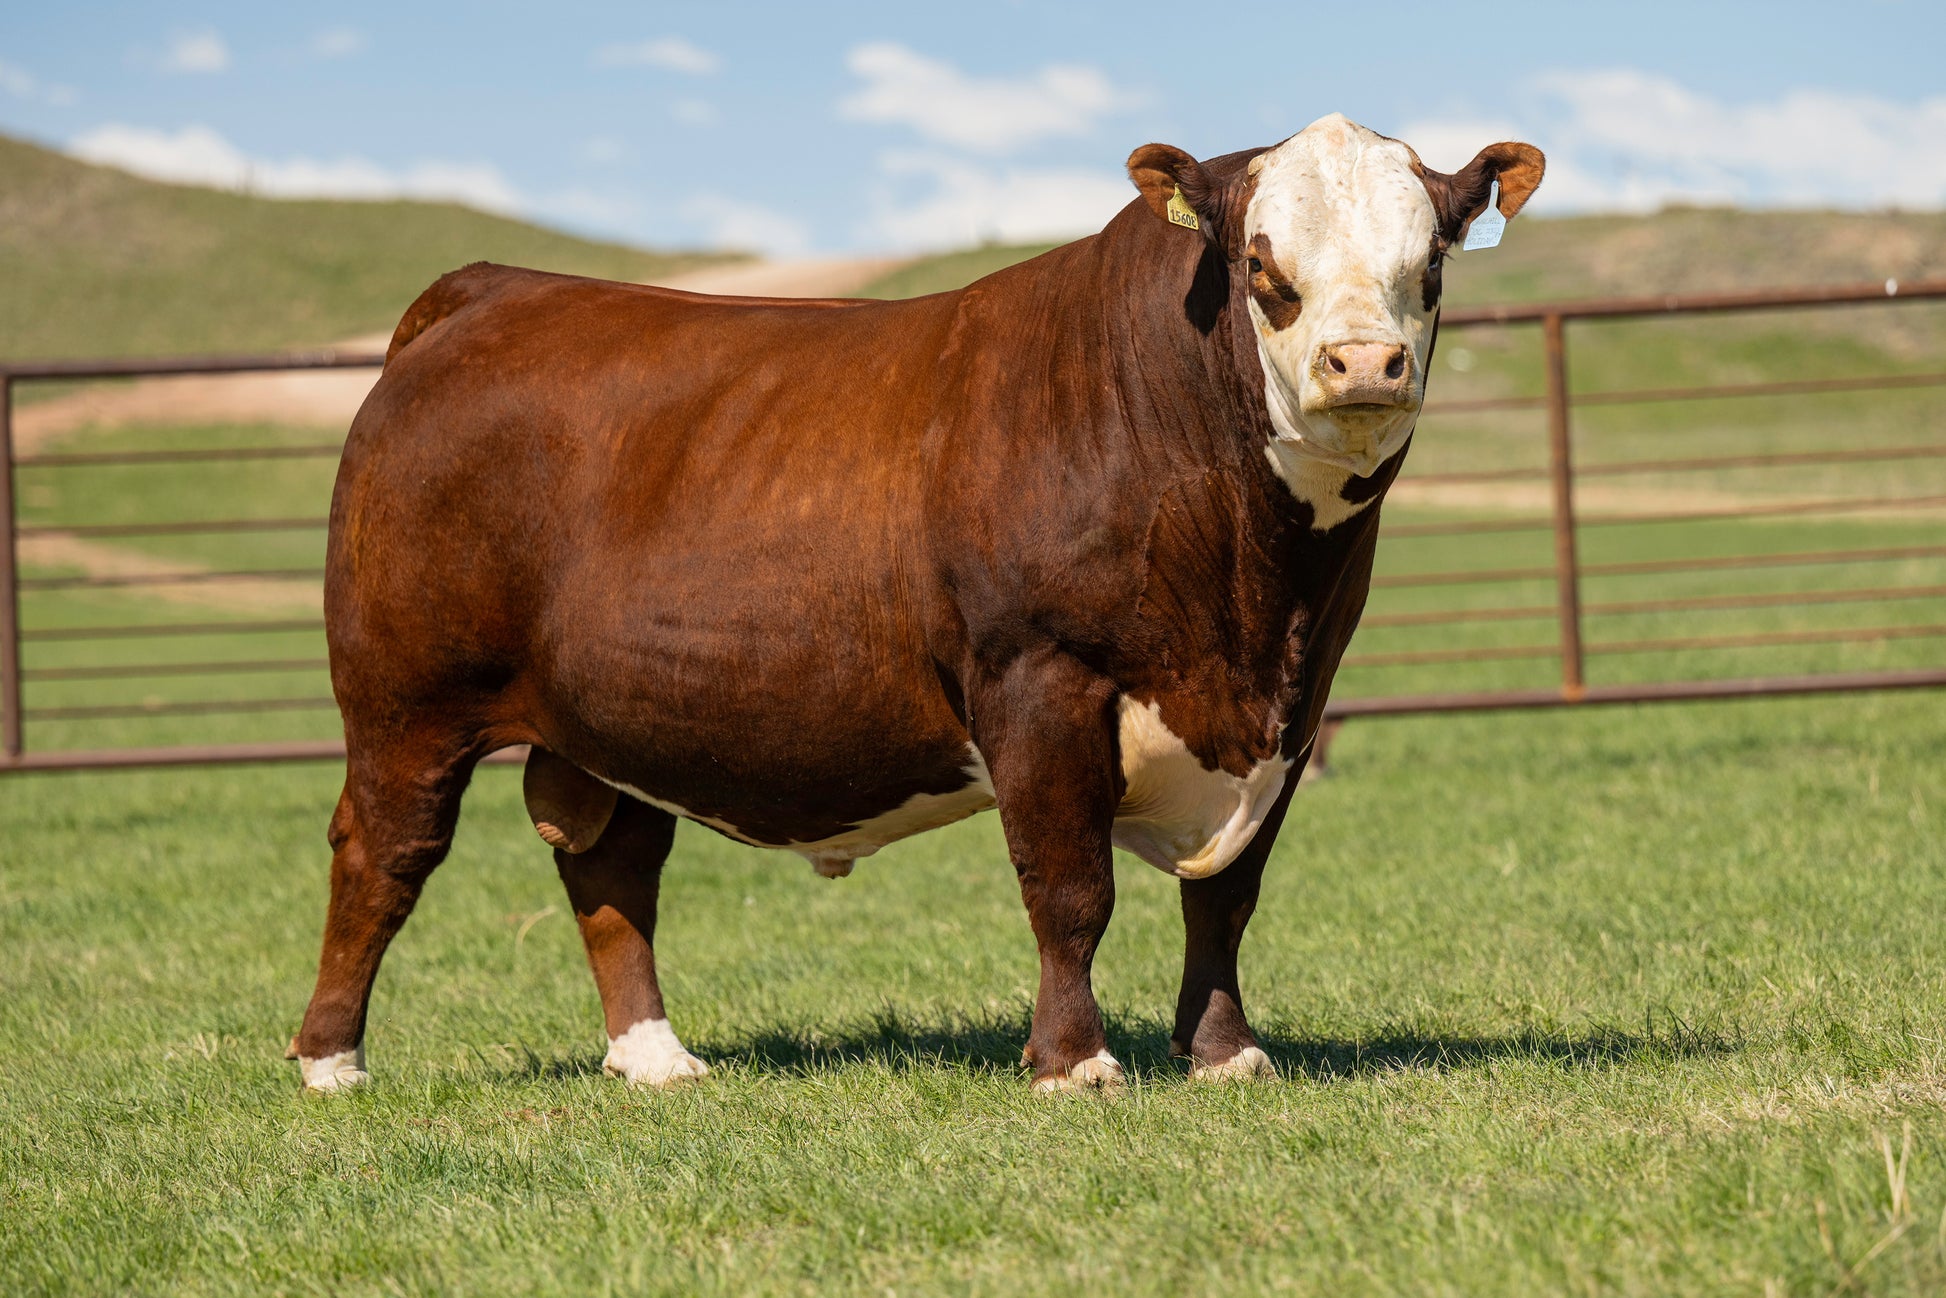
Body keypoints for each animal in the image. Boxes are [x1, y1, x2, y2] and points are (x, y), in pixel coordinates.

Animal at [292, 114, 1543, 1094]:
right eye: (1260, 265)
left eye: (1431, 266)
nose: (1364, 363)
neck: (1246, 593)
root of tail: (491, 291)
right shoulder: (1037, 679)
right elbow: (1068, 886)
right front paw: (1072, 1059)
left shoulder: (1291, 704)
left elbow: (1226, 894)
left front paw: (1225, 1051)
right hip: (407, 698)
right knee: (382, 849)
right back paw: (330, 1059)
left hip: (614, 716)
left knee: (611, 863)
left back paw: (654, 1056)